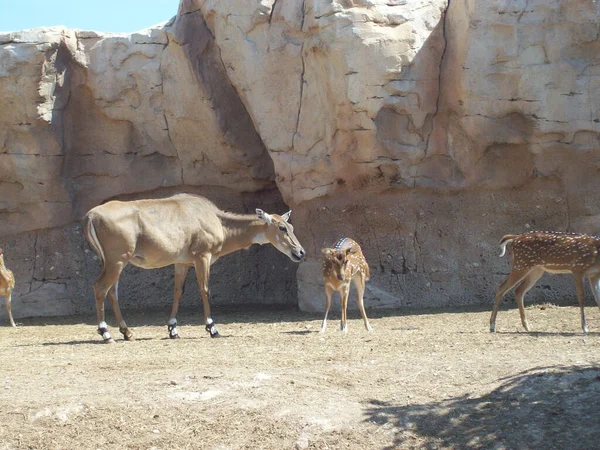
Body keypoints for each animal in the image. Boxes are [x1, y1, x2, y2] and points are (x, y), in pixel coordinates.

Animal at [82, 193, 308, 344]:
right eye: (282, 227)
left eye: (291, 227)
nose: (300, 252)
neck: (217, 220)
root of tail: (91, 215)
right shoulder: (202, 256)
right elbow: (204, 289)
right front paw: (212, 328)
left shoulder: (181, 262)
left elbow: (177, 292)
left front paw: (173, 329)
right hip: (117, 260)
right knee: (100, 287)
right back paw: (106, 333)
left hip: (115, 263)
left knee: (112, 291)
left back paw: (127, 332)